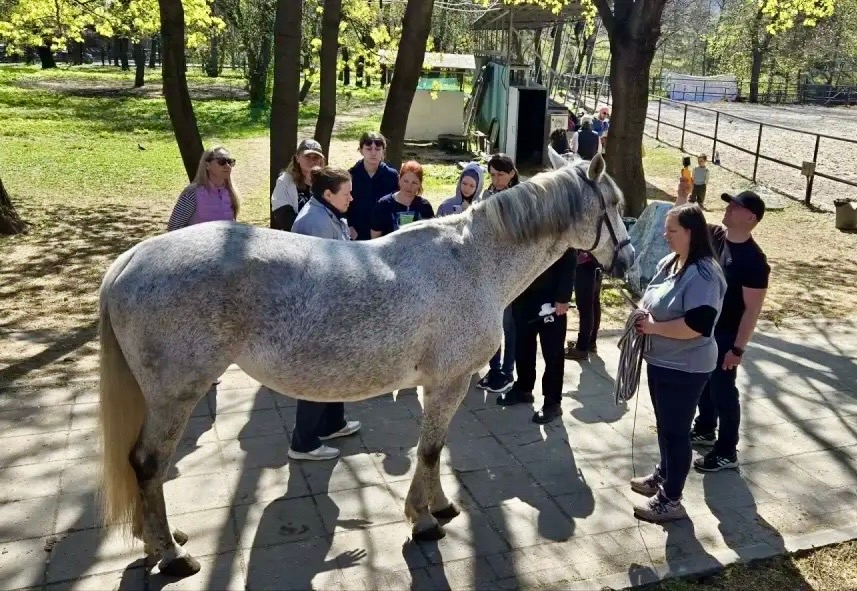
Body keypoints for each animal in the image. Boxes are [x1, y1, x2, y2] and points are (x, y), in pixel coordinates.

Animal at [97, 154, 633, 578]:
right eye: (614, 205)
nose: (628, 263)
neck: (474, 262)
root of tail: (130, 261)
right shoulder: (449, 382)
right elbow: (430, 449)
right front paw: (423, 519)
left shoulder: (443, 384)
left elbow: (434, 448)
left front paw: (438, 505)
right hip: (176, 395)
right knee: (148, 463)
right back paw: (171, 555)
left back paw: (161, 542)